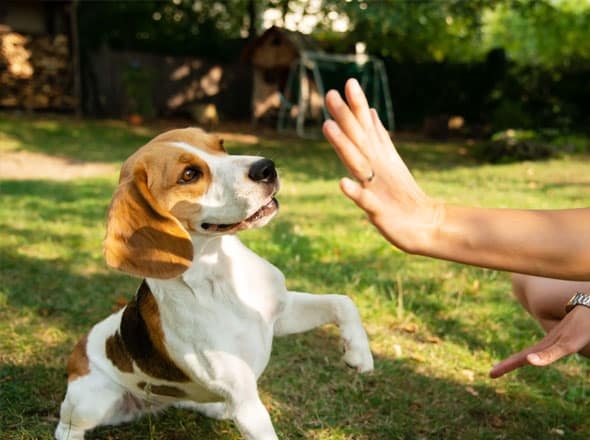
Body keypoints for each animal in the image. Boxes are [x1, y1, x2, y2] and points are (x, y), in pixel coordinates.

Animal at [54, 127, 370, 440]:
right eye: (189, 174)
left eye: (221, 145)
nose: (266, 167)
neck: (220, 273)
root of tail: (77, 350)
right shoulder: (245, 400)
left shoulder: (281, 314)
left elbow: (343, 302)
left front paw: (359, 354)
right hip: (91, 401)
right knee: (66, 427)